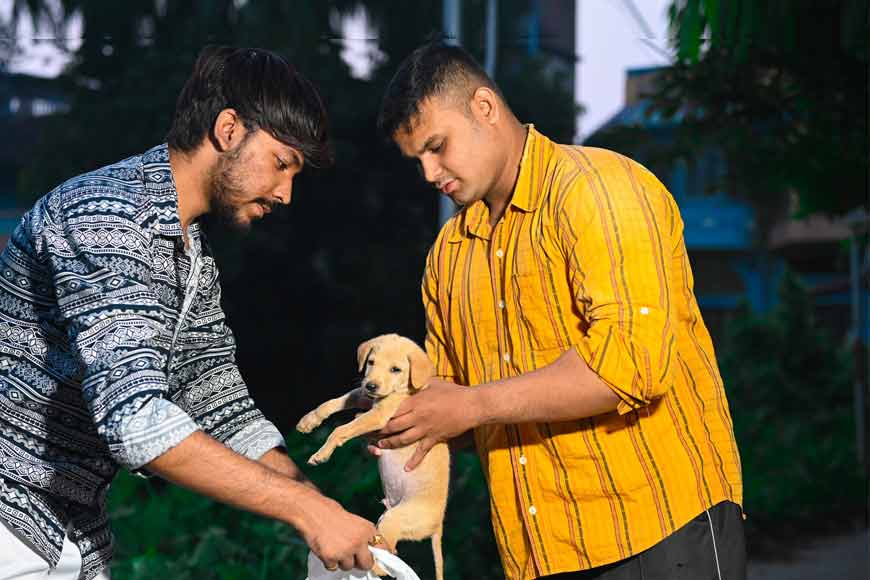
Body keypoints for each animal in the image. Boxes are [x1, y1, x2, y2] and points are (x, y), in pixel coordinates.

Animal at [298, 336, 454, 580]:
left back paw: (373, 565)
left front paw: (321, 453)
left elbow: (341, 429)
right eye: (371, 362)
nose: (372, 385)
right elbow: (332, 402)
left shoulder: (379, 415)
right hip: (384, 519)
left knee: (389, 552)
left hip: (395, 520)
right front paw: (309, 420)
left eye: (396, 369)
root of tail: (437, 526)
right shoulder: (361, 394)